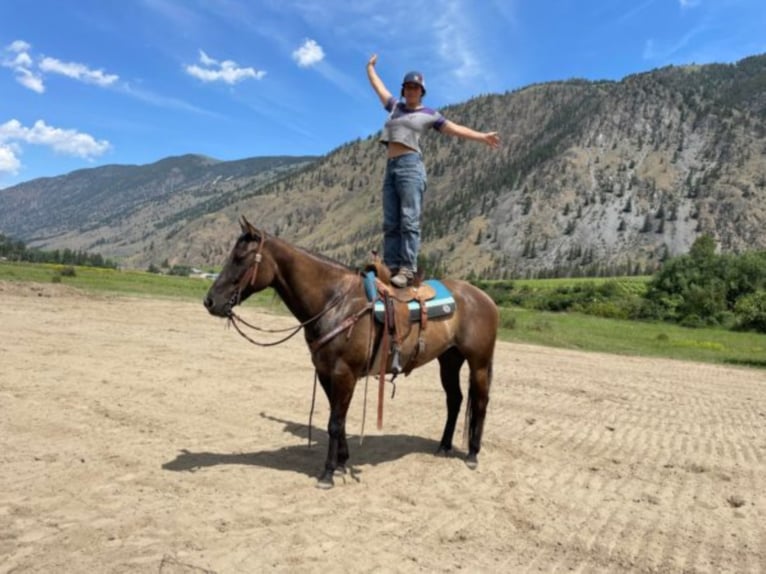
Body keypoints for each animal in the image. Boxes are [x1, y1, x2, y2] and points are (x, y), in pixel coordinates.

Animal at [204, 217, 500, 490]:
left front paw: (327, 473)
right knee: (455, 399)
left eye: (240, 258)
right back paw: (444, 446)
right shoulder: (326, 373)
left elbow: (335, 422)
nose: (210, 301)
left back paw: (472, 454)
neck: (334, 302)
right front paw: (342, 463)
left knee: (481, 401)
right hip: (449, 360)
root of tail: (484, 298)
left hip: (479, 362)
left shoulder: (344, 373)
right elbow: (340, 419)